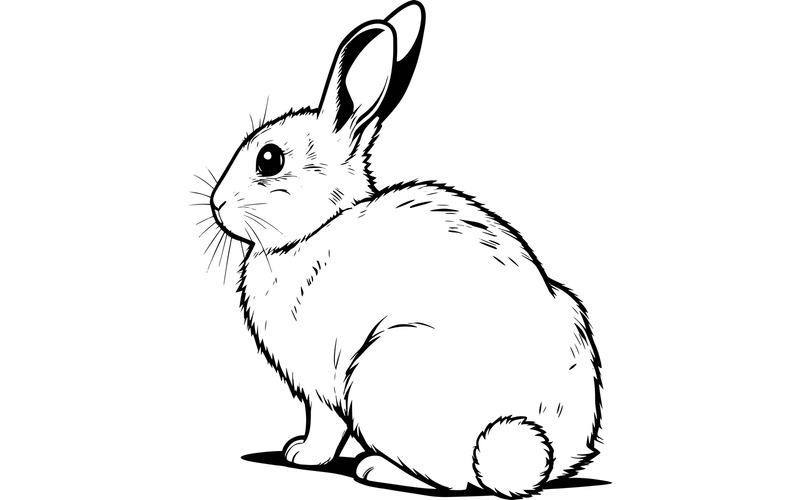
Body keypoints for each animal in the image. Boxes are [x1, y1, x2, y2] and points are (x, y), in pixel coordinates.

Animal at [207, 2, 601, 497]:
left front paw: (302, 454)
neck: (316, 229)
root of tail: (541, 453)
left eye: (269, 159)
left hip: (385, 371)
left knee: (453, 479)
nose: (216, 203)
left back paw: (377, 468)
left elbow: (325, 426)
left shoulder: (321, 383)